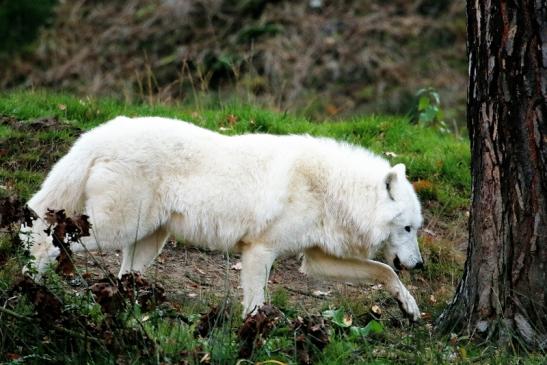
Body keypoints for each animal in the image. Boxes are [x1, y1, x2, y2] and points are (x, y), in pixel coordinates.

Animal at [23, 116, 426, 318]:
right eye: (407, 228)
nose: (420, 265)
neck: (330, 188)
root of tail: (98, 134)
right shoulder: (260, 251)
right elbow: (255, 305)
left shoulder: (313, 260)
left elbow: (384, 270)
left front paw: (409, 305)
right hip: (113, 230)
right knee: (49, 239)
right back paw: (31, 286)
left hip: (148, 240)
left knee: (123, 277)